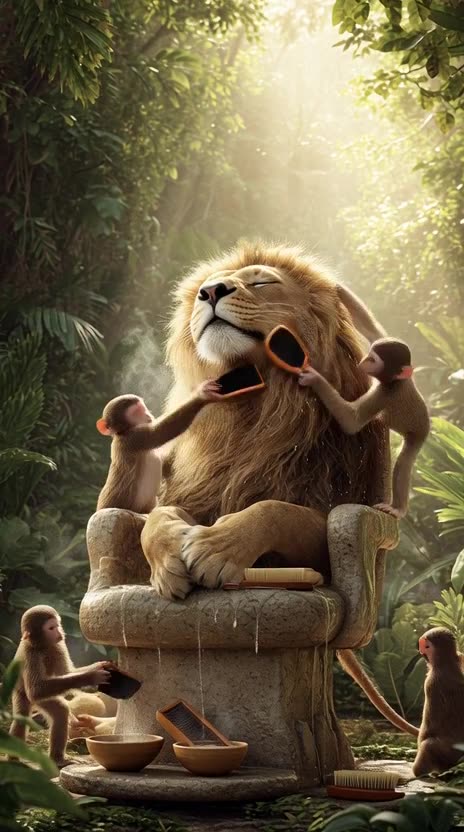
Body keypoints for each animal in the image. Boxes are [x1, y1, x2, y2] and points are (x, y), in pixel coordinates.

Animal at [140, 241, 389, 602]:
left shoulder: (326, 520)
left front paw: (216, 548)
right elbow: (155, 517)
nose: (210, 291)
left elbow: (275, 509)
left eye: (262, 282)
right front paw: (167, 560)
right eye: (206, 286)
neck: (252, 408)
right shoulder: (195, 493)